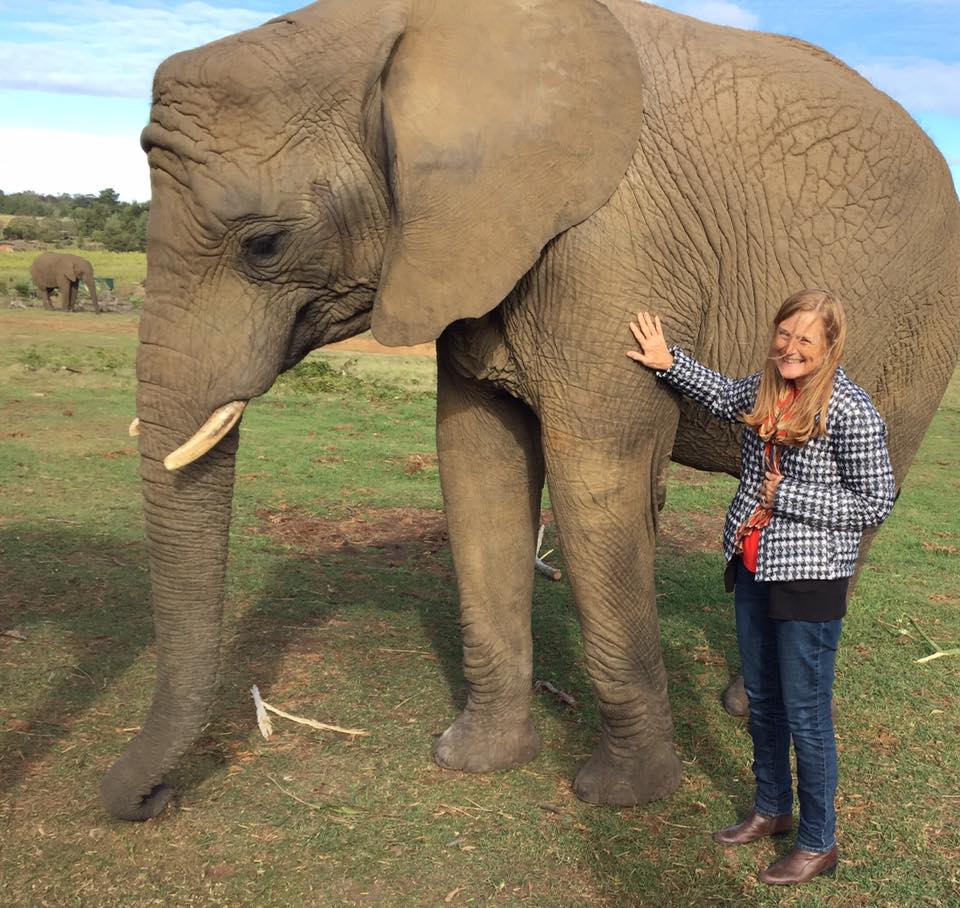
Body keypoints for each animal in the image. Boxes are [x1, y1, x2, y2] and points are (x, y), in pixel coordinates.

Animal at [101, 0, 960, 821]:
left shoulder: (613, 249)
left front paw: (623, 795)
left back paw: (751, 709)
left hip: (917, 334)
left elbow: (597, 484)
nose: (149, 799)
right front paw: (473, 760)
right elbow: (477, 468)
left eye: (265, 244)